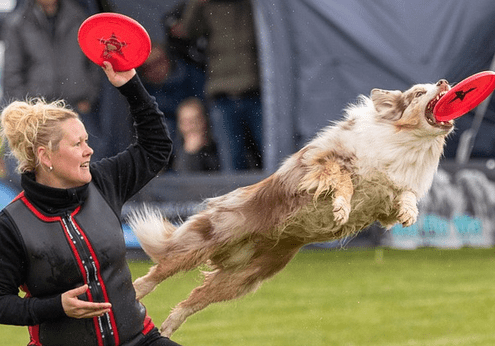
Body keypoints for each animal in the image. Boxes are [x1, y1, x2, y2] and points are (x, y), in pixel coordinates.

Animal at [130, 79, 456, 338]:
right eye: (418, 93)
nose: (444, 82)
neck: (407, 143)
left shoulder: (384, 202)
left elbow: (404, 195)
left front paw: (410, 212)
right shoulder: (322, 162)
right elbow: (343, 179)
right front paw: (341, 207)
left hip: (244, 278)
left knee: (193, 299)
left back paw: (168, 326)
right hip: (206, 240)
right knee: (158, 271)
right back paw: (135, 294)